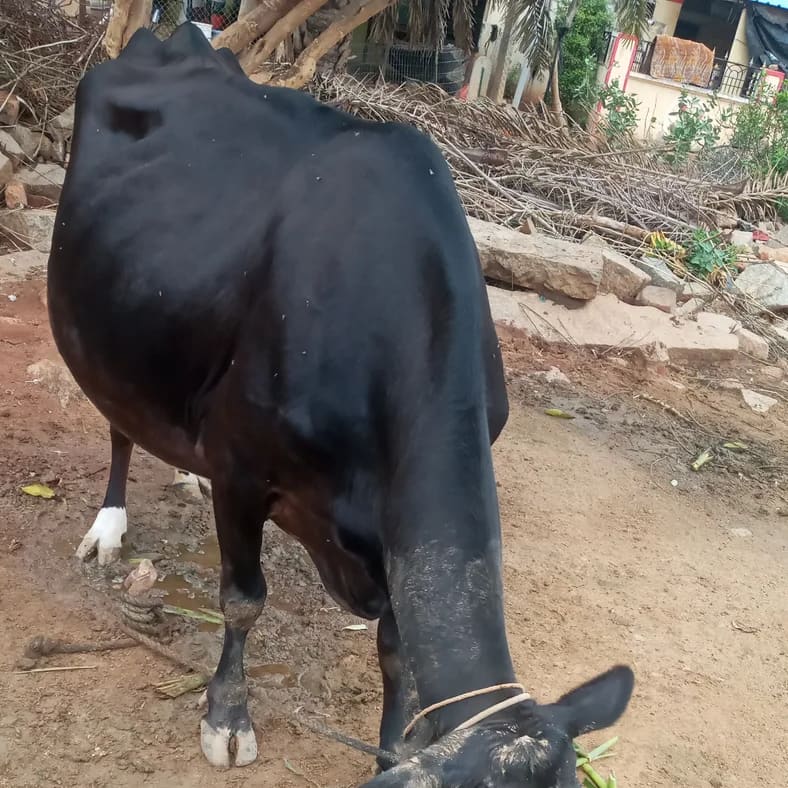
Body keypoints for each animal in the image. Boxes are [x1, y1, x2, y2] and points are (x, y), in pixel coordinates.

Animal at [47, 23, 634, 786]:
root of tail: (169, 36)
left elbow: (396, 650)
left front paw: (387, 748)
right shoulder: (241, 469)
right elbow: (243, 600)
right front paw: (227, 716)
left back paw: (181, 471)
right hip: (105, 331)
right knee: (120, 424)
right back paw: (110, 525)